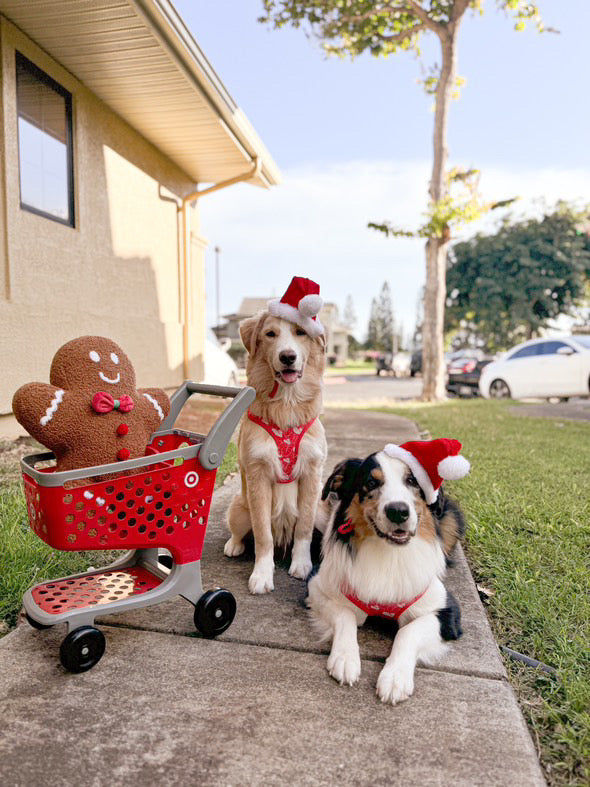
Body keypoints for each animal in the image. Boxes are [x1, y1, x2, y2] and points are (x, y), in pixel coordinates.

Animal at [225, 286, 328, 596]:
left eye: (300, 332)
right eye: (270, 334)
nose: (288, 357)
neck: (287, 405)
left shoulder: (311, 473)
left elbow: (304, 527)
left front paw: (302, 565)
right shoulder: (258, 475)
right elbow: (263, 536)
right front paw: (262, 574)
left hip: (323, 510)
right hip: (239, 507)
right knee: (240, 531)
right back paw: (233, 544)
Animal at [310, 444, 472, 708]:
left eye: (412, 481)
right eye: (370, 483)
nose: (398, 511)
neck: (389, 553)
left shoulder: (447, 611)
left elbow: (408, 632)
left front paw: (395, 677)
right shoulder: (318, 587)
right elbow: (345, 615)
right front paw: (346, 658)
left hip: (451, 519)